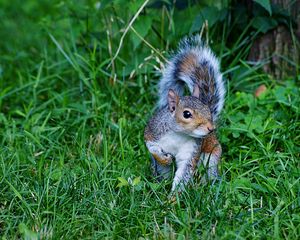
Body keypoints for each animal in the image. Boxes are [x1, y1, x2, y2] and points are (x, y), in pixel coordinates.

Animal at [144, 35, 225, 192]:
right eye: (186, 114)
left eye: (207, 110)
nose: (211, 128)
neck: (179, 134)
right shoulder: (152, 132)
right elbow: (151, 147)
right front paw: (164, 158)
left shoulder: (191, 151)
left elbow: (184, 174)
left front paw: (173, 198)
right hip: (161, 169)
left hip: (211, 157)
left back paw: (203, 186)